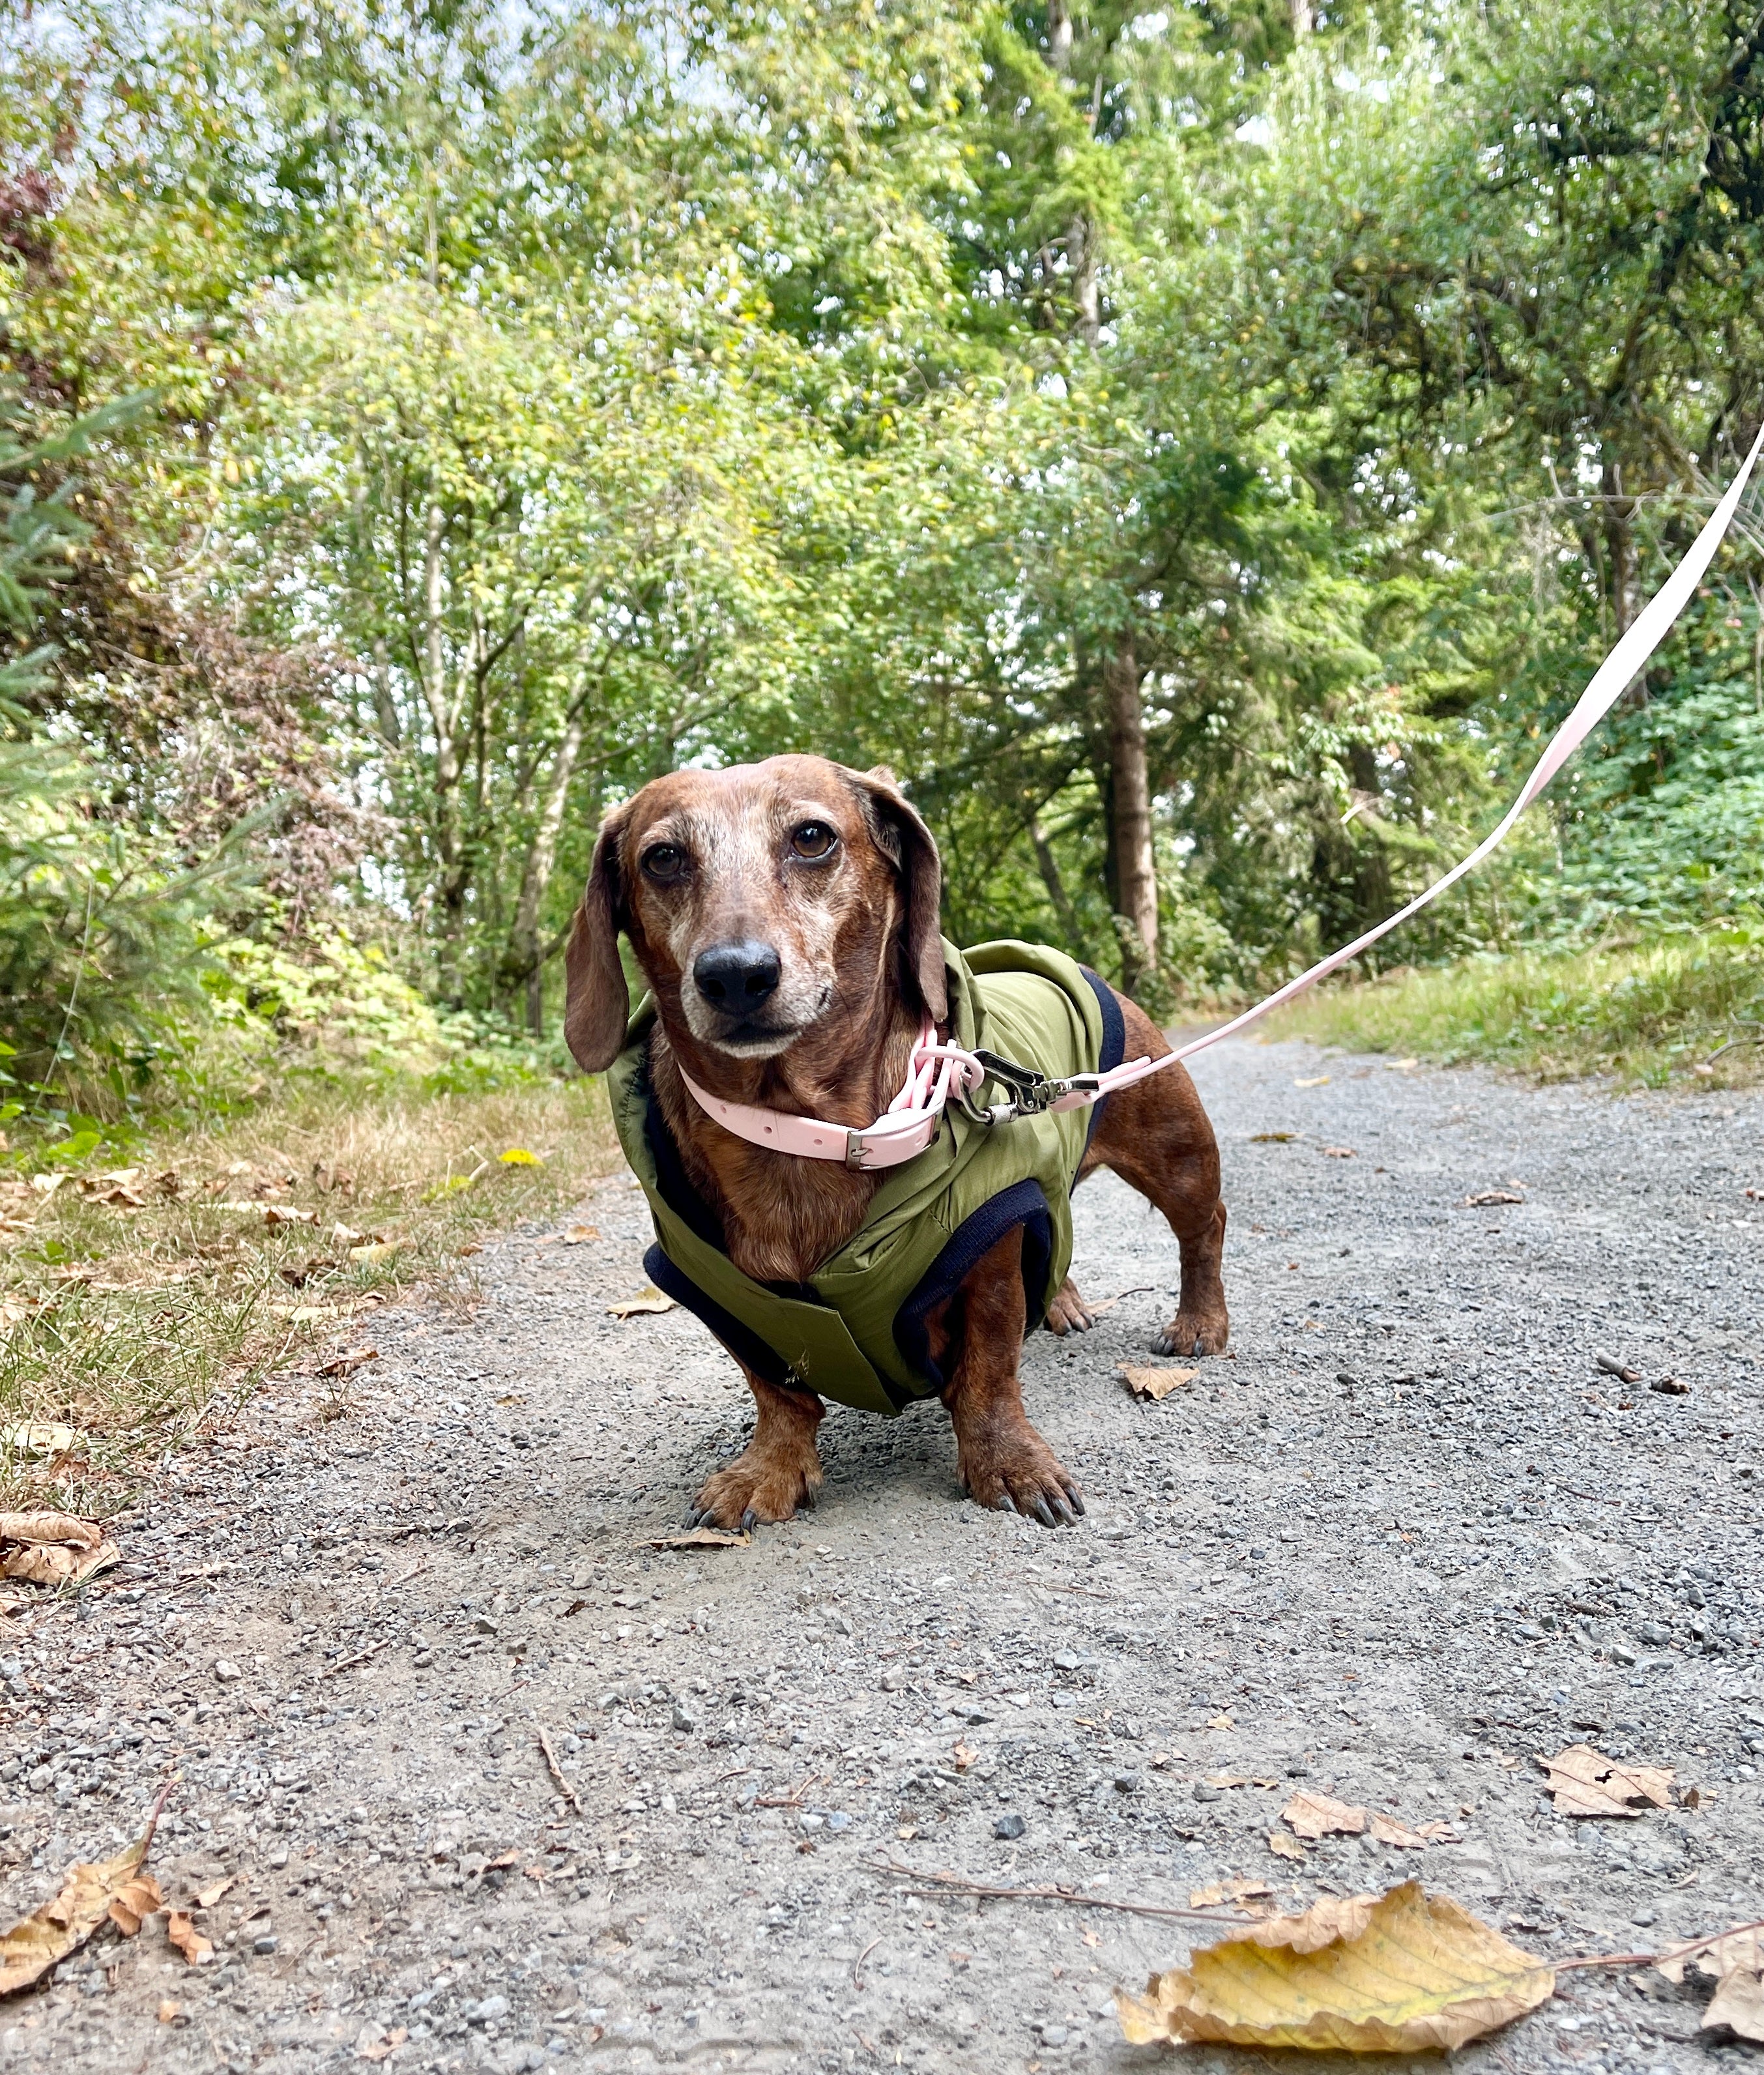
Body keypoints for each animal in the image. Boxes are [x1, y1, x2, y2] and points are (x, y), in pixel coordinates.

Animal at [564, 759, 1220, 1527]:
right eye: (663, 858)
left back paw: (1200, 1324)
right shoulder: (716, 1291)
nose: (735, 975)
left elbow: (988, 1376)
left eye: (812, 837)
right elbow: (777, 1393)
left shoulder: (993, 1246)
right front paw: (767, 1469)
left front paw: (1008, 1463)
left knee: (1203, 1231)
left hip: (1176, 1156)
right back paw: (1061, 1302)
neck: (811, 1132)